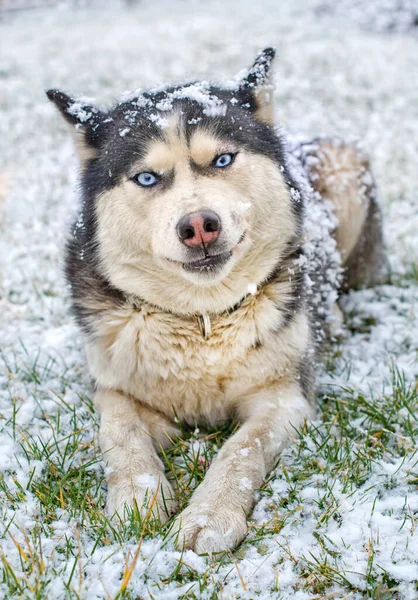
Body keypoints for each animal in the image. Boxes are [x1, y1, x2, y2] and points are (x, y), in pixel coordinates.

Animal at [47, 47, 384, 552]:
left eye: (223, 159)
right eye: (146, 177)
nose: (198, 226)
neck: (202, 317)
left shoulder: (284, 397)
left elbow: (241, 448)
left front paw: (209, 513)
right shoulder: (113, 387)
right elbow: (120, 433)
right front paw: (137, 497)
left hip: (344, 168)